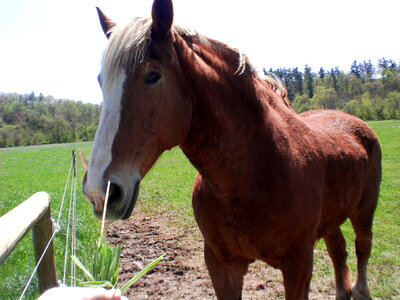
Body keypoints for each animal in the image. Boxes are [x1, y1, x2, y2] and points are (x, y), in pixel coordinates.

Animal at [81, 1, 382, 298]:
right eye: (101, 81)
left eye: (152, 76)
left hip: (364, 210)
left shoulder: (299, 265)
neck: (256, 170)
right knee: (338, 249)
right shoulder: (222, 265)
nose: (99, 190)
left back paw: (361, 290)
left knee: (362, 246)